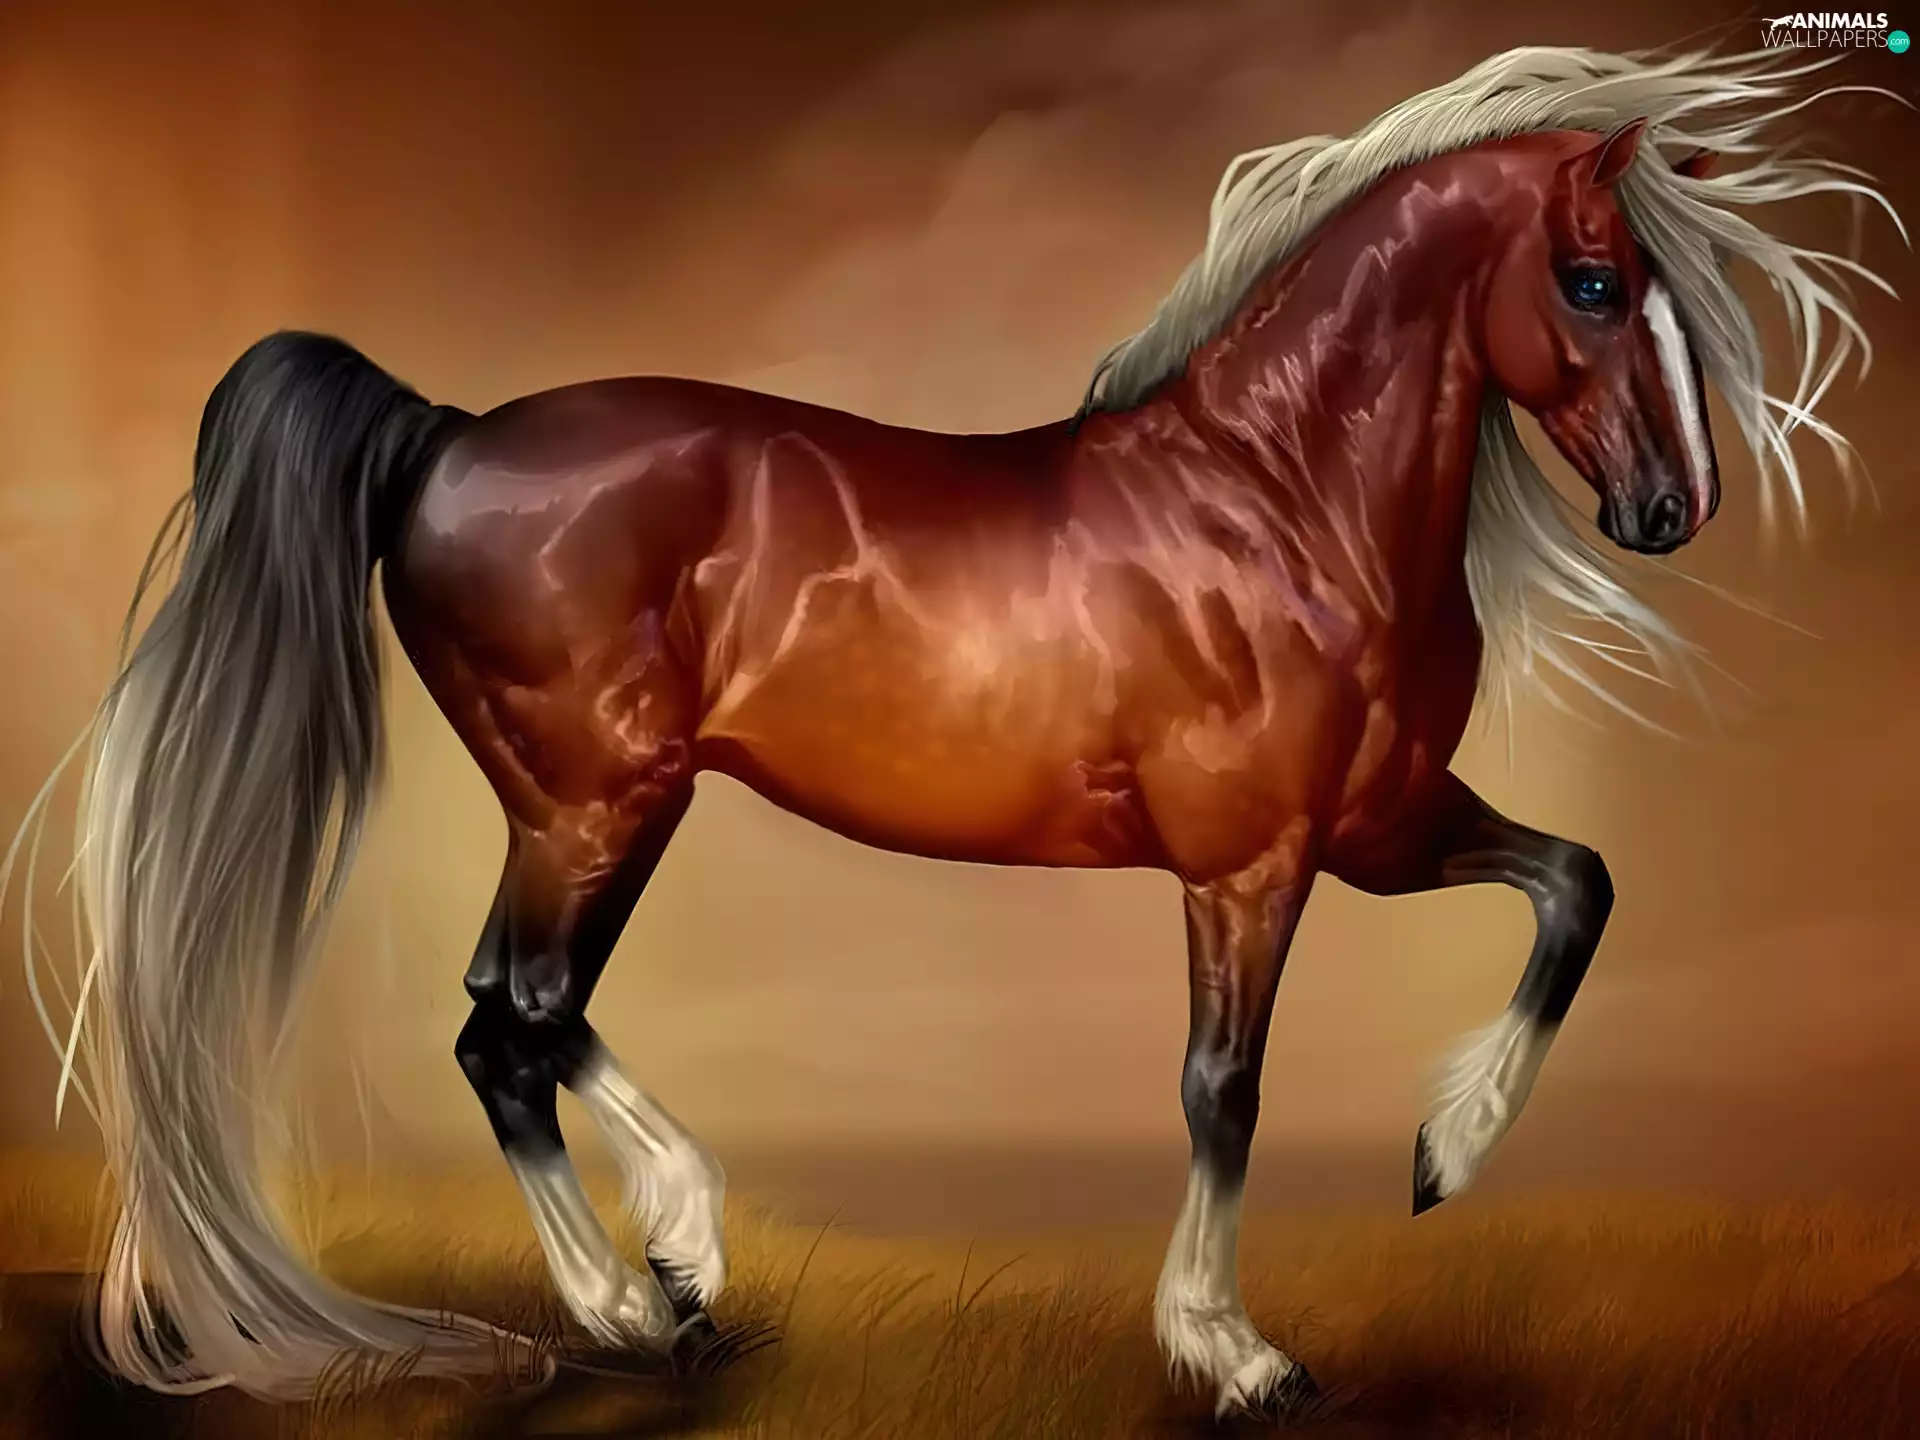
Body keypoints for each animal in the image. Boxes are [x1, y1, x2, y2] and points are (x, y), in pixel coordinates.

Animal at [13, 43, 1894, 1423]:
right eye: (1593, 282)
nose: (1674, 510)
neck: (1279, 502)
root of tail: (448, 433)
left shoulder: (1379, 825)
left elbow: (1577, 887)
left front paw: (1445, 1155)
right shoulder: (1251, 865)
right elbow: (1223, 1089)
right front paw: (1234, 1350)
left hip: (608, 805)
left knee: (520, 1013)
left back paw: (686, 1255)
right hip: (596, 799)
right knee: (509, 1031)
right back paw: (631, 1303)